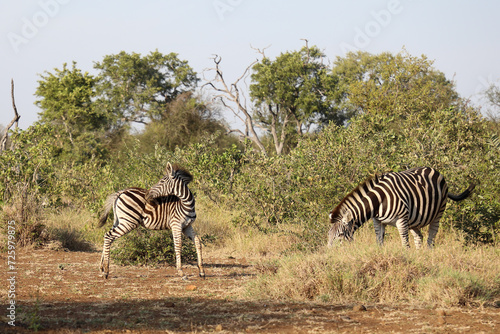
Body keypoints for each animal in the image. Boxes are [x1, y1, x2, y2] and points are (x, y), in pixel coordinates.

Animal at [326, 167, 474, 248]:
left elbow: (405, 244)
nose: (330, 254)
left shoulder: (401, 221)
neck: (379, 201)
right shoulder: (378, 222)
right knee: (419, 237)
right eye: (328, 235)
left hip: (438, 213)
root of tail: (434, 170)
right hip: (414, 219)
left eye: (340, 235)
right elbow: (379, 242)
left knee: (431, 238)